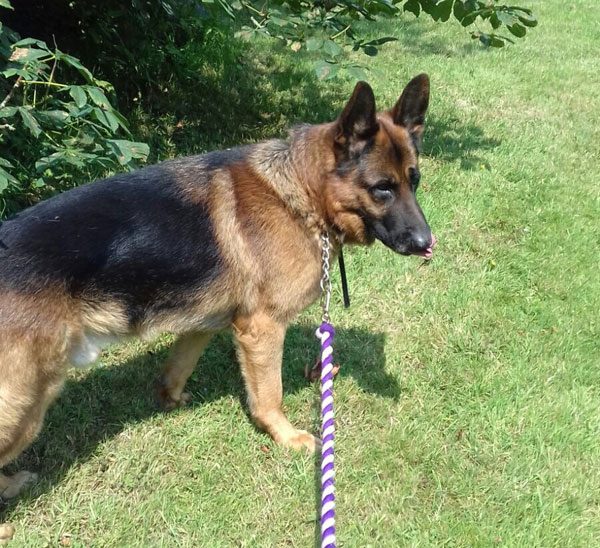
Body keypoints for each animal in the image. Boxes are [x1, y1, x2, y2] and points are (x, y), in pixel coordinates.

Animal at [0, 75, 432, 498]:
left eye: (414, 181)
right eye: (382, 188)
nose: (427, 244)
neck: (300, 192)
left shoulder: (205, 321)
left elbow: (179, 364)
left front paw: (170, 399)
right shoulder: (262, 329)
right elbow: (270, 393)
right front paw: (285, 436)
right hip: (24, 402)